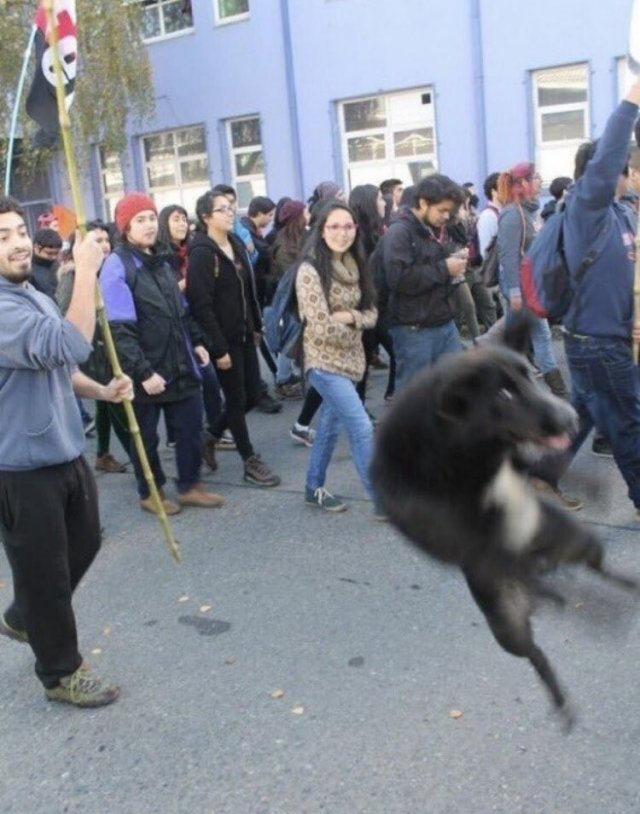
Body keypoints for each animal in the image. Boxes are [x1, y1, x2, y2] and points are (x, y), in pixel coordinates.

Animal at [372, 342, 636, 724]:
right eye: (503, 395)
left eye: (528, 375)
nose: (570, 417)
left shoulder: (512, 463)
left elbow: (534, 465)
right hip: (508, 627)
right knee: (537, 650)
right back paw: (562, 692)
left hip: (579, 541)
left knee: (598, 569)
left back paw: (622, 586)